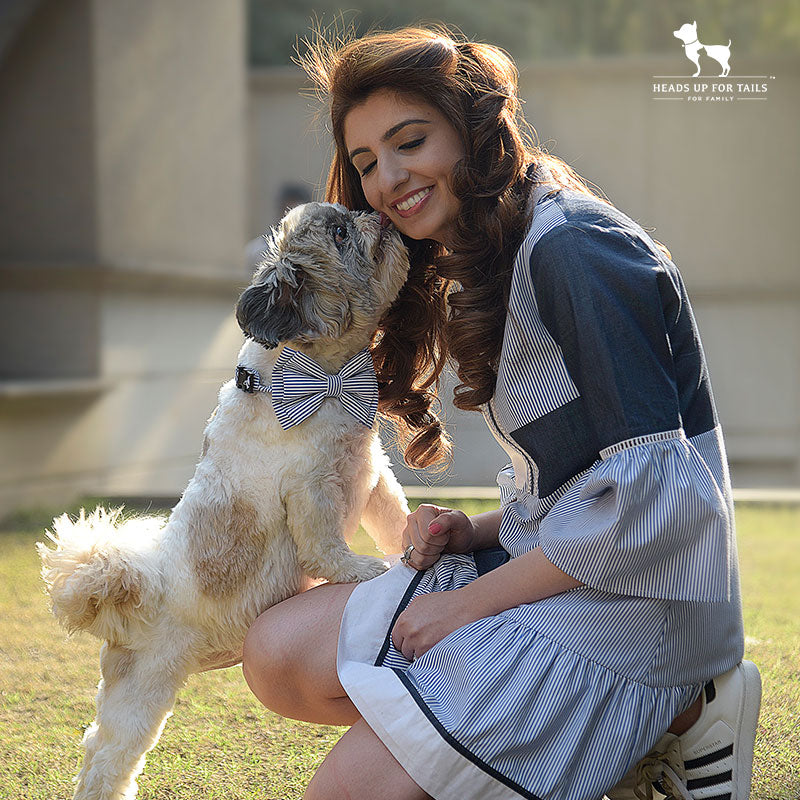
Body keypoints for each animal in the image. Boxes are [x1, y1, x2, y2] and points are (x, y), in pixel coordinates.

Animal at [37, 202, 412, 800]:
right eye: (340, 232)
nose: (372, 212)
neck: (314, 375)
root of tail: (135, 585)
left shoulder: (371, 474)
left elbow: (395, 516)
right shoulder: (312, 490)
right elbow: (327, 549)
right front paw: (363, 570)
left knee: (96, 748)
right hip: (143, 697)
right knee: (107, 764)